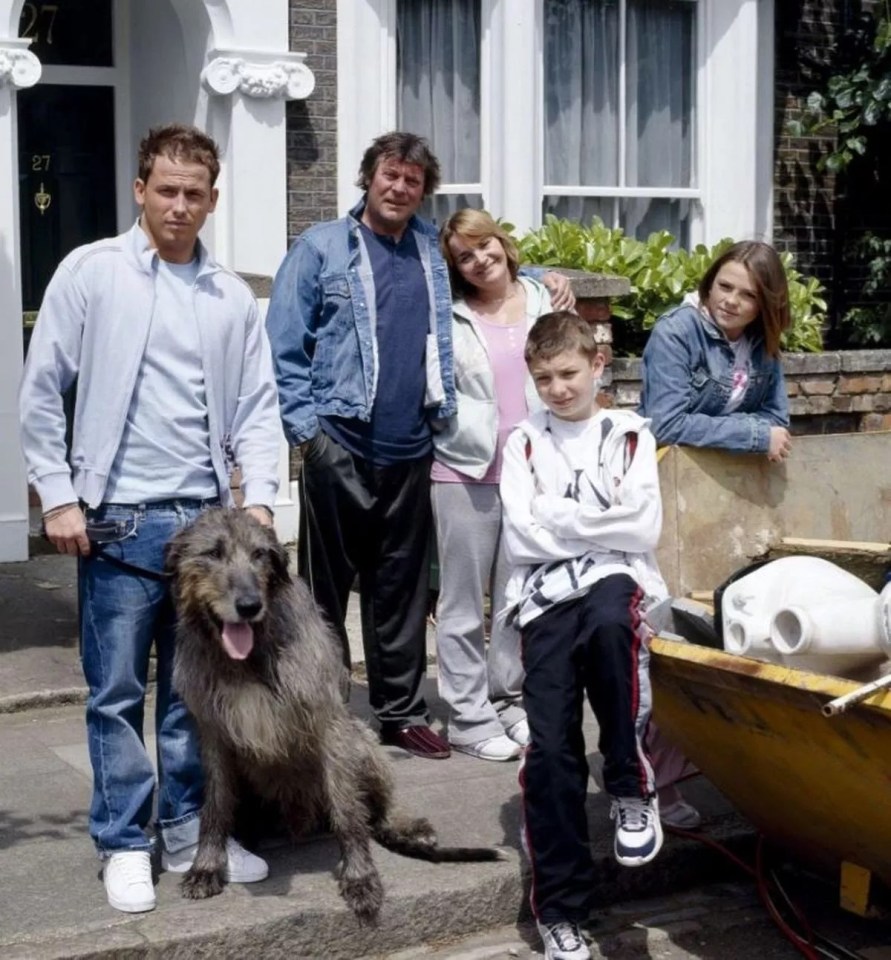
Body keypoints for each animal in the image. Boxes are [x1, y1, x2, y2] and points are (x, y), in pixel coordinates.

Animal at [165, 510, 506, 924]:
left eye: (260, 554)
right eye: (213, 553)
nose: (249, 604)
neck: (249, 656)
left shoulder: (329, 721)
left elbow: (347, 811)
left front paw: (360, 877)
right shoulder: (212, 731)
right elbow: (214, 805)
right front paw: (206, 865)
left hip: (360, 739)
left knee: (372, 812)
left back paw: (407, 828)